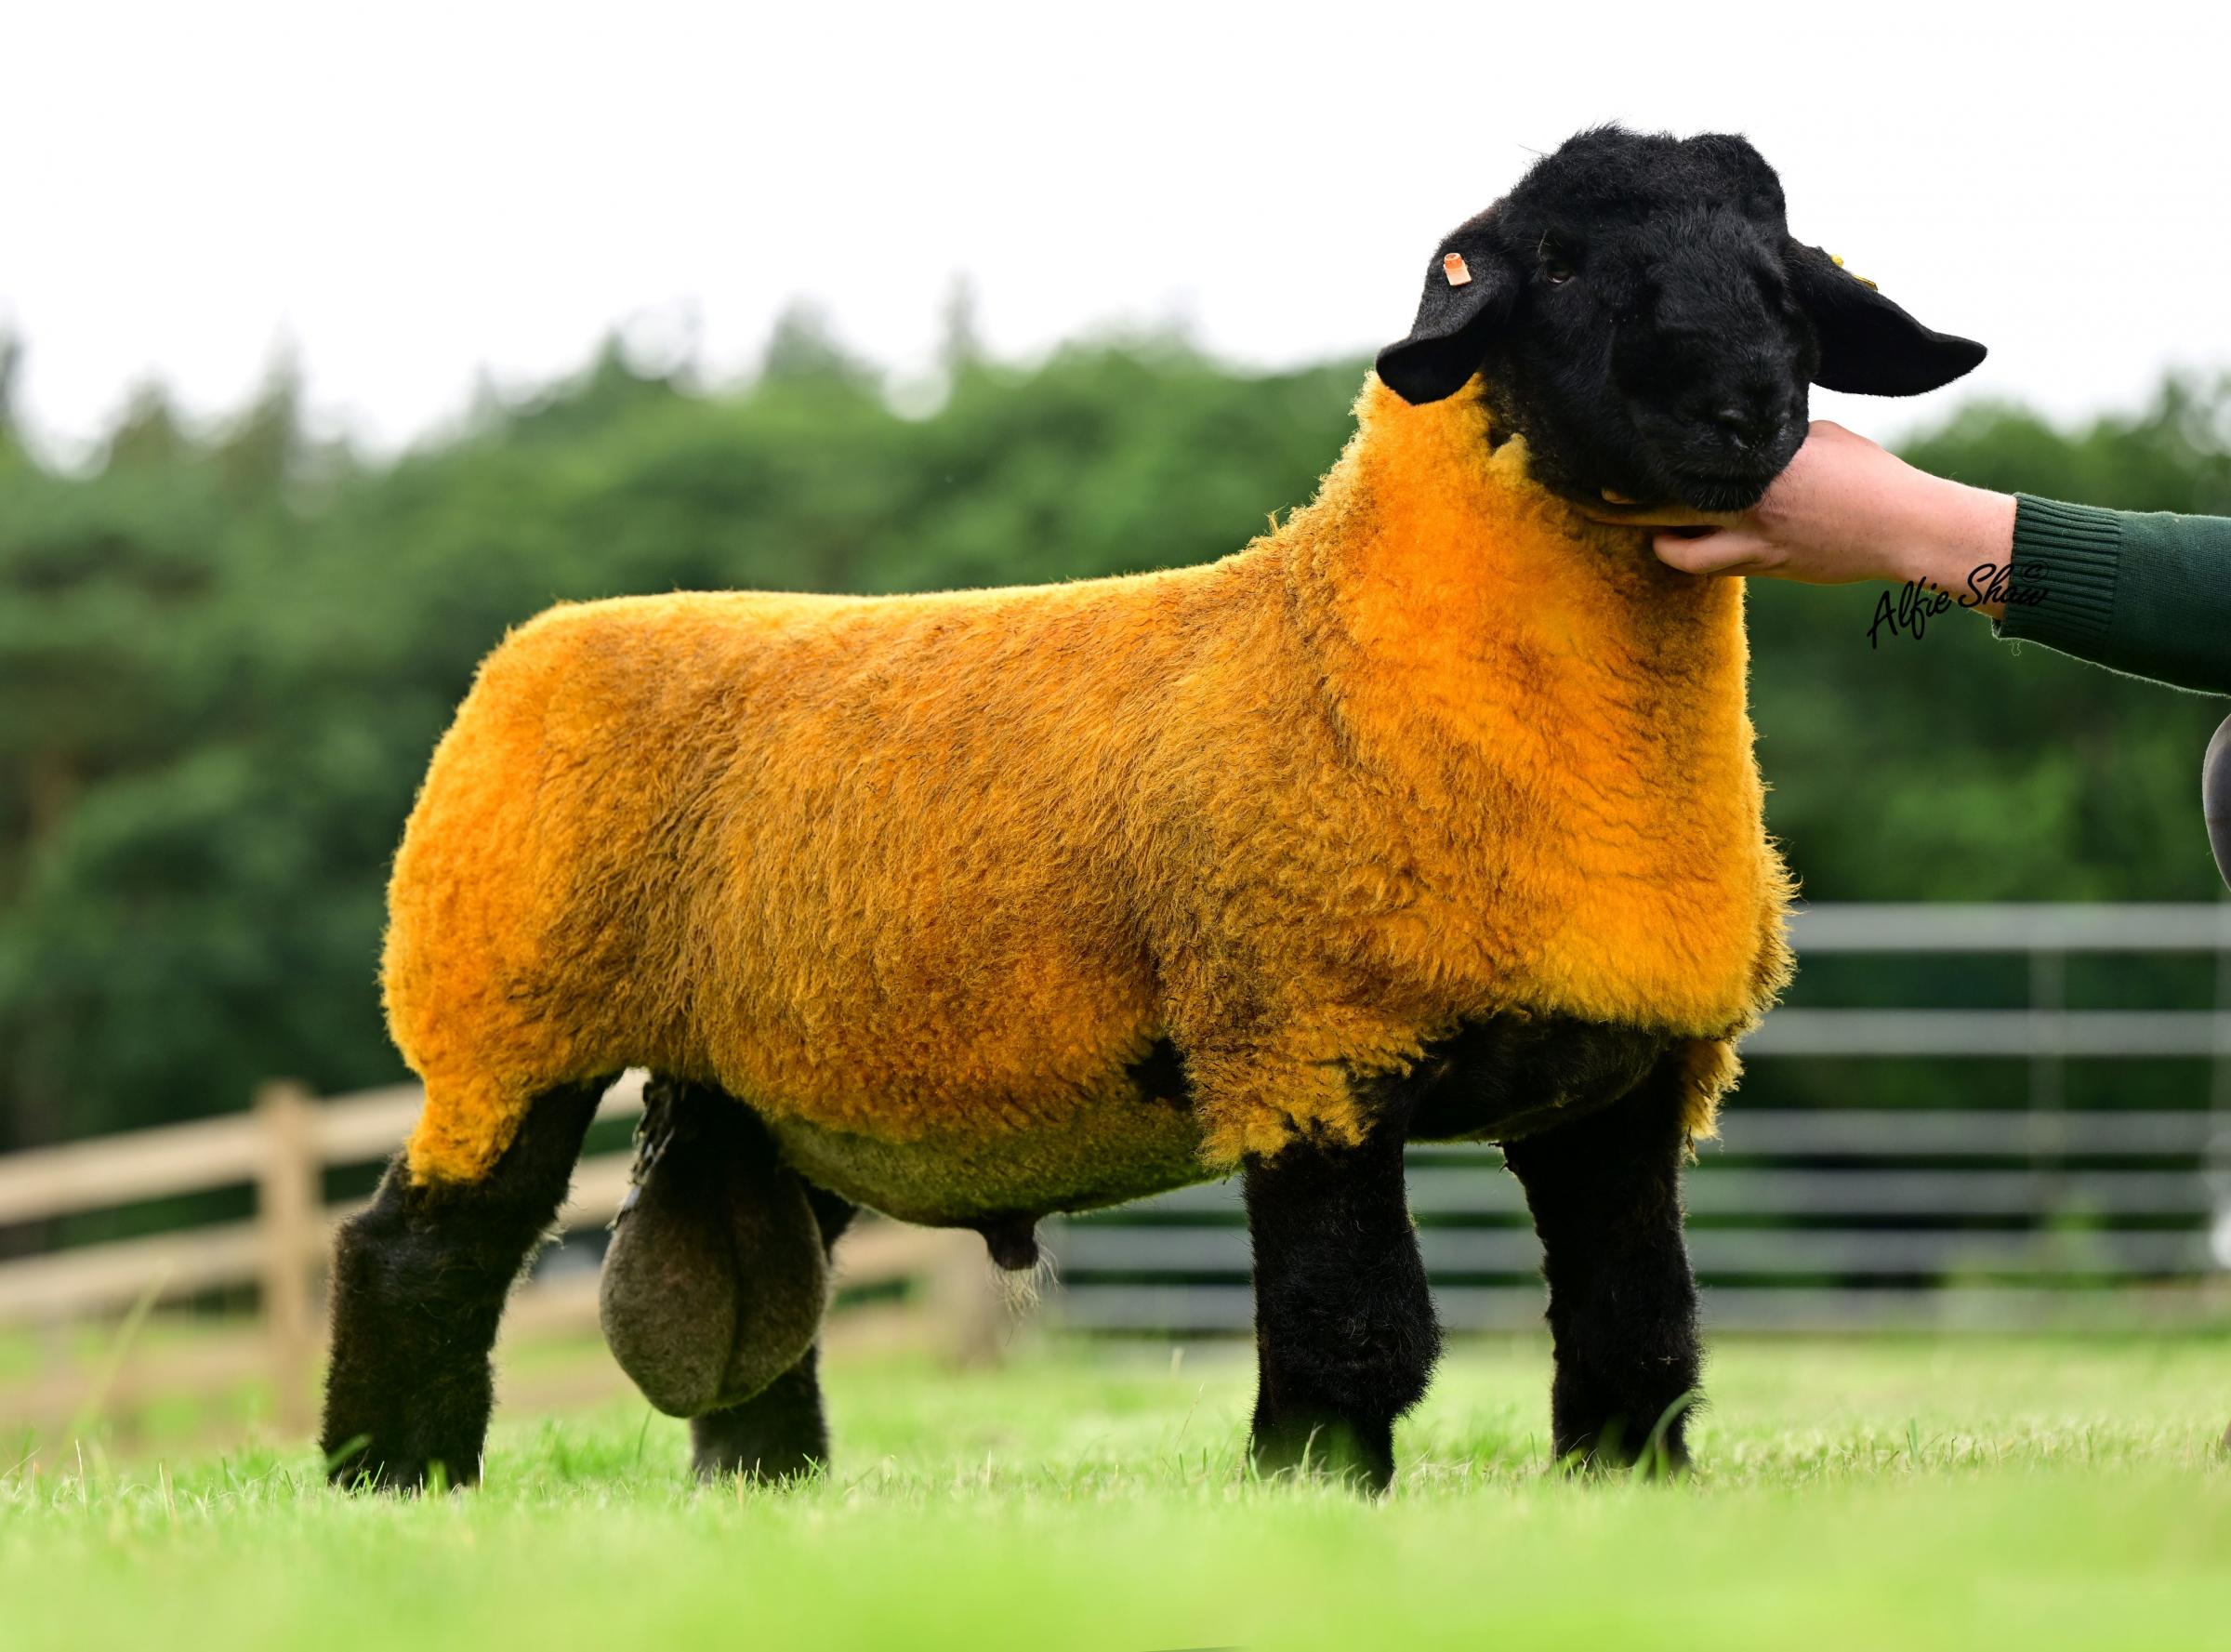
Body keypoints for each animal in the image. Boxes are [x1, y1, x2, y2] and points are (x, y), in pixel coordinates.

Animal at [319, 126, 1989, 1500]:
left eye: (1781, 278)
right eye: (1562, 266)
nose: (1742, 411)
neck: (1346, 637)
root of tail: (535, 643)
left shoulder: (1630, 1083)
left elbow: (1639, 1320)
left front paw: (1624, 1487)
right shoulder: (1304, 1037)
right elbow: (1354, 1318)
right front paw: (1316, 1486)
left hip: (762, 1069)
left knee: (759, 1290)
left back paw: (764, 1493)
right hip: (501, 1016)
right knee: (415, 1248)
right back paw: (393, 1485)